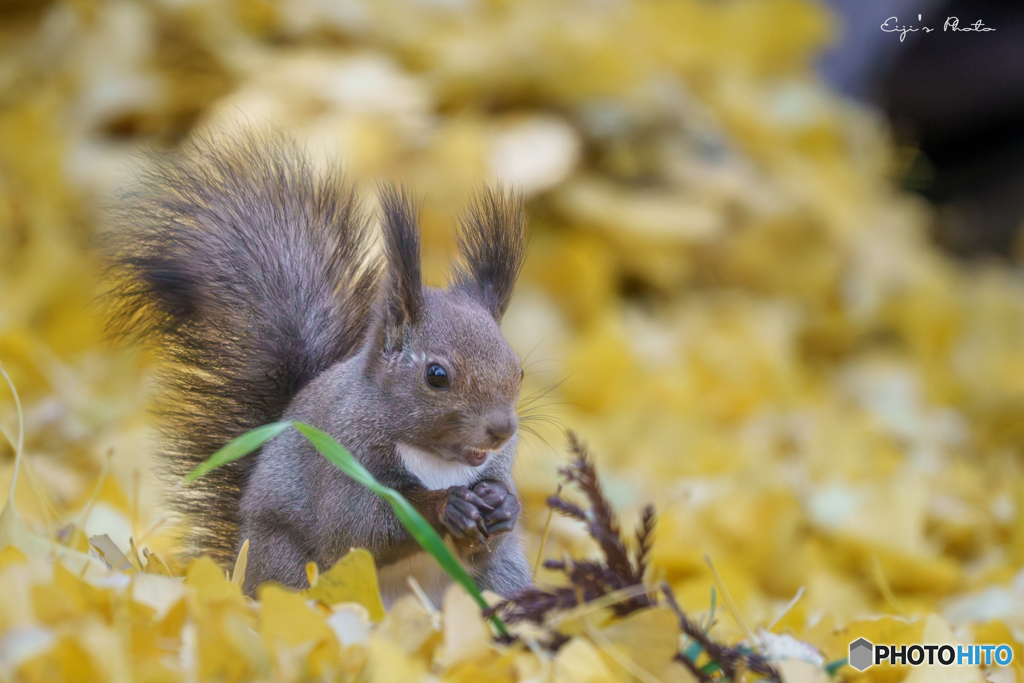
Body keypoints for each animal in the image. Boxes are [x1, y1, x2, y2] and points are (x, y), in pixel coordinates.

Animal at [104, 133, 536, 602]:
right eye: (436, 376)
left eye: (519, 371)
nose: (502, 429)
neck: (437, 458)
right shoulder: (342, 461)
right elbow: (363, 528)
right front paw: (448, 505)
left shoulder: (496, 468)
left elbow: (487, 534)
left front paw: (504, 505)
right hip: (289, 569)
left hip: (502, 580)